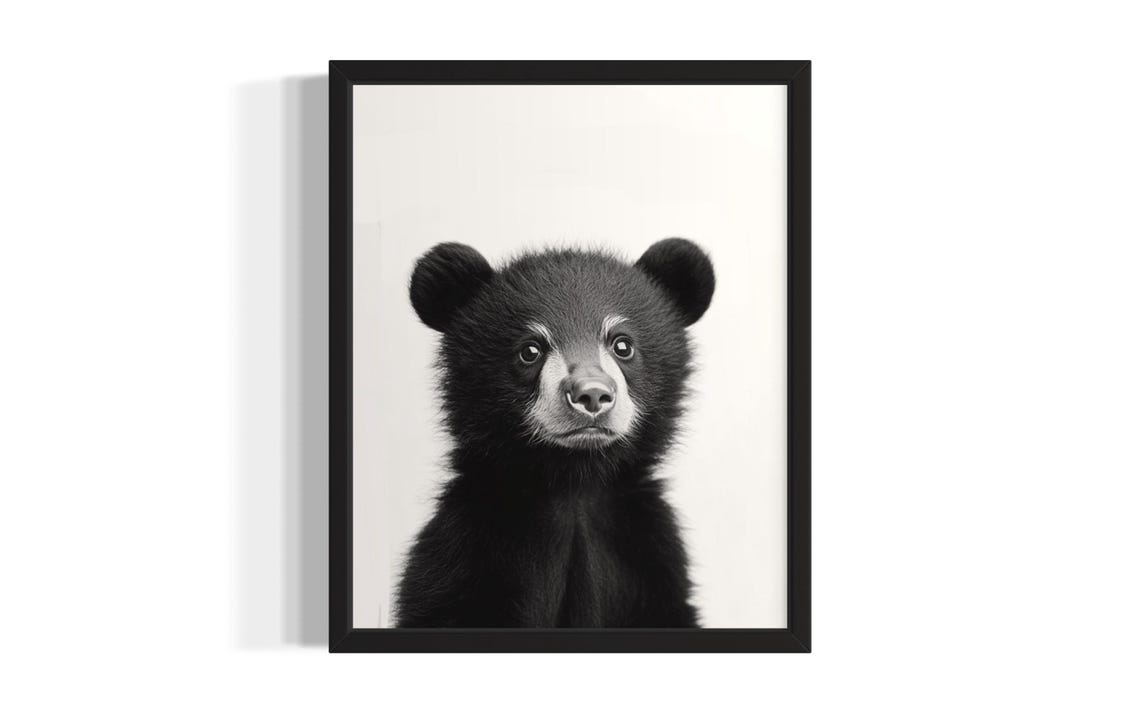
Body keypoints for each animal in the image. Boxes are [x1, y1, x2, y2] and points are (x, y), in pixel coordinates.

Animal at [394, 238, 715, 628]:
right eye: (530, 350)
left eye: (623, 345)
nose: (591, 394)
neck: (573, 483)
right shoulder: (470, 547)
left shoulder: (647, 553)